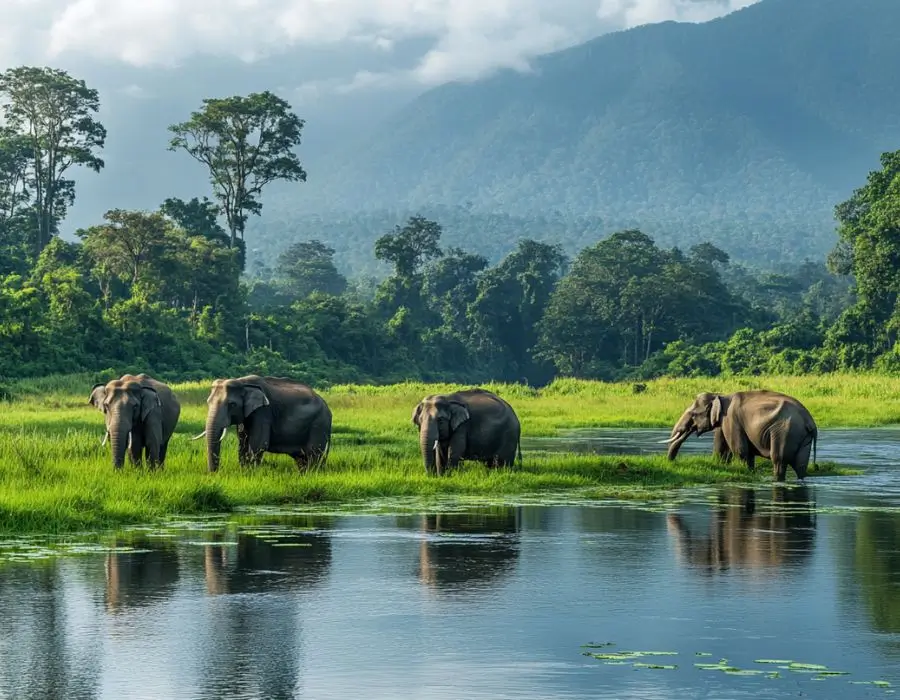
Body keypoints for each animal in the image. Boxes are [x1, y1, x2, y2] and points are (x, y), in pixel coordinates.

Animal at [196, 374, 334, 474]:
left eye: (232, 405)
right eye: (208, 402)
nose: (214, 474)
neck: (242, 382)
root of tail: (327, 408)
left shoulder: (263, 413)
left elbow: (258, 444)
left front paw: (250, 474)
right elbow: (242, 445)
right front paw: (244, 473)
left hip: (319, 424)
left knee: (314, 453)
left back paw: (312, 474)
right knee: (302, 457)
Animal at [660, 388, 816, 482]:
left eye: (693, 414)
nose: (671, 462)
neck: (720, 395)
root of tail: (809, 421)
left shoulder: (731, 419)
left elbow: (740, 451)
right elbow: (727, 450)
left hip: (785, 431)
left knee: (779, 459)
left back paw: (777, 480)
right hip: (802, 436)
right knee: (800, 465)